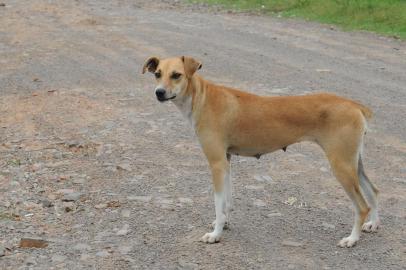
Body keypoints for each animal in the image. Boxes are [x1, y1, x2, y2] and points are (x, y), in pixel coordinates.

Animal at [141, 56, 380, 248]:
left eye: (176, 75)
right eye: (157, 74)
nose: (159, 93)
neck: (201, 97)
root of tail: (354, 104)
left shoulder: (217, 163)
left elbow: (218, 203)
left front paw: (215, 234)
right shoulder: (226, 161)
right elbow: (226, 201)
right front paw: (224, 223)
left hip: (341, 166)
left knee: (362, 205)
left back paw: (352, 239)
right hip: (354, 164)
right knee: (374, 191)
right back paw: (373, 224)